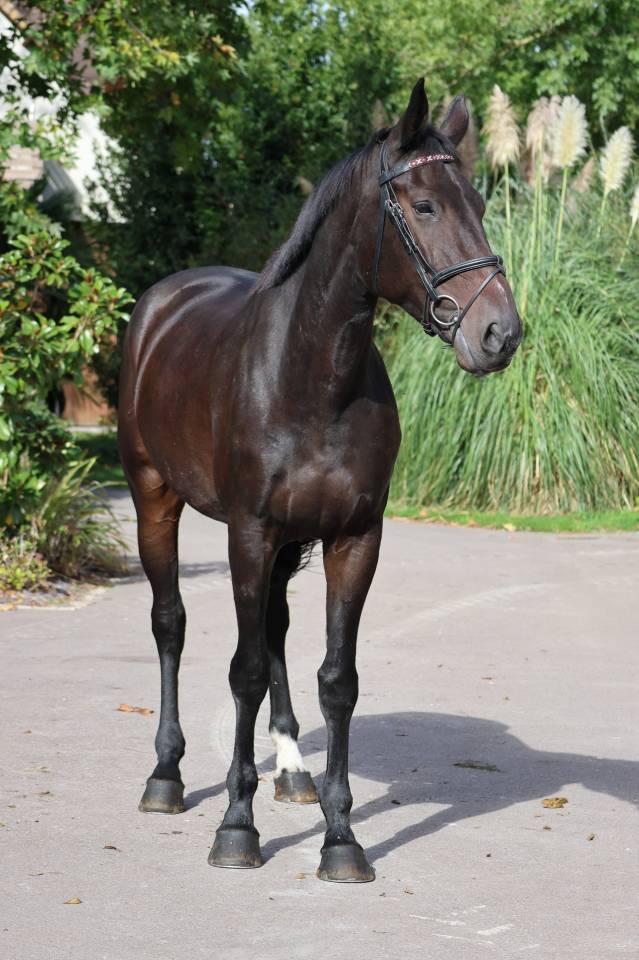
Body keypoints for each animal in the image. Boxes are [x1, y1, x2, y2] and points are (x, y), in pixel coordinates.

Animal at [118, 78, 522, 883]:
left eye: (478, 203)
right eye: (424, 206)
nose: (499, 333)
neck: (310, 378)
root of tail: (161, 303)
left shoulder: (352, 538)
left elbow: (337, 678)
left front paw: (341, 838)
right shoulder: (248, 534)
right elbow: (241, 669)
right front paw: (235, 829)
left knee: (274, 629)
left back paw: (291, 771)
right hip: (155, 499)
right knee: (171, 624)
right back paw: (166, 777)